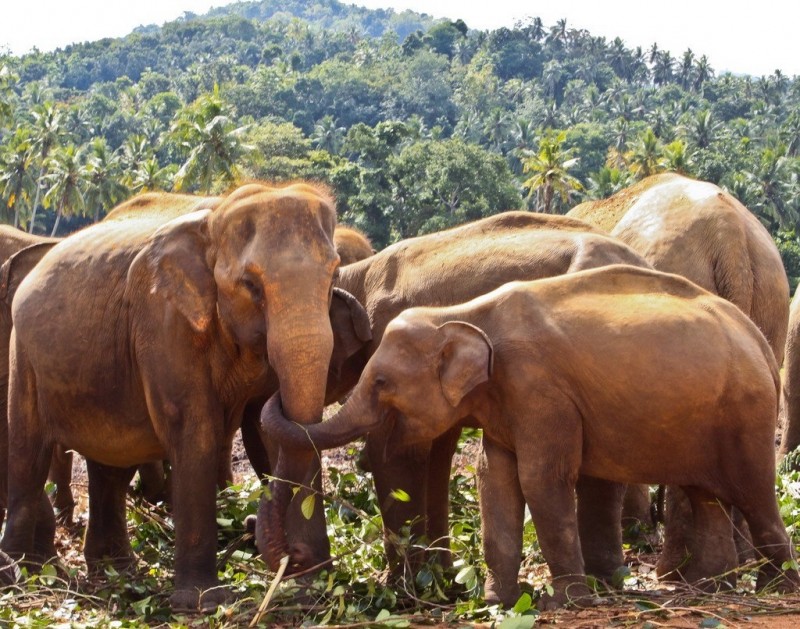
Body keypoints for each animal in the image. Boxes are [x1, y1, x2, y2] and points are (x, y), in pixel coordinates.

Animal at [0, 179, 368, 612]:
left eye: (333, 277)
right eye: (251, 286)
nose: (293, 558)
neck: (215, 218)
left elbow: (270, 433)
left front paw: (314, 585)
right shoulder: (162, 320)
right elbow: (196, 429)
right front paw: (202, 602)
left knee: (111, 464)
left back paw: (117, 572)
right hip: (23, 355)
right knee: (29, 452)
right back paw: (25, 575)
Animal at [258, 211, 656, 584]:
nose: (294, 557)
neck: (356, 275)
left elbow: (398, 454)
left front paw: (405, 590)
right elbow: (437, 455)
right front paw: (443, 579)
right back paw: (609, 576)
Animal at [260, 264, 796, 608]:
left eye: (381, 383)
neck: (463, 312)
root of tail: (759, 341)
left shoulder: (540, 392)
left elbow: (540, 479)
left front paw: (568, 602)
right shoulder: (507, 403)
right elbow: (493, 481)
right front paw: (501, 601)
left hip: (746, 417)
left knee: (755, 495)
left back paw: (774, 590)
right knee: (708, 497)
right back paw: (712, 590)